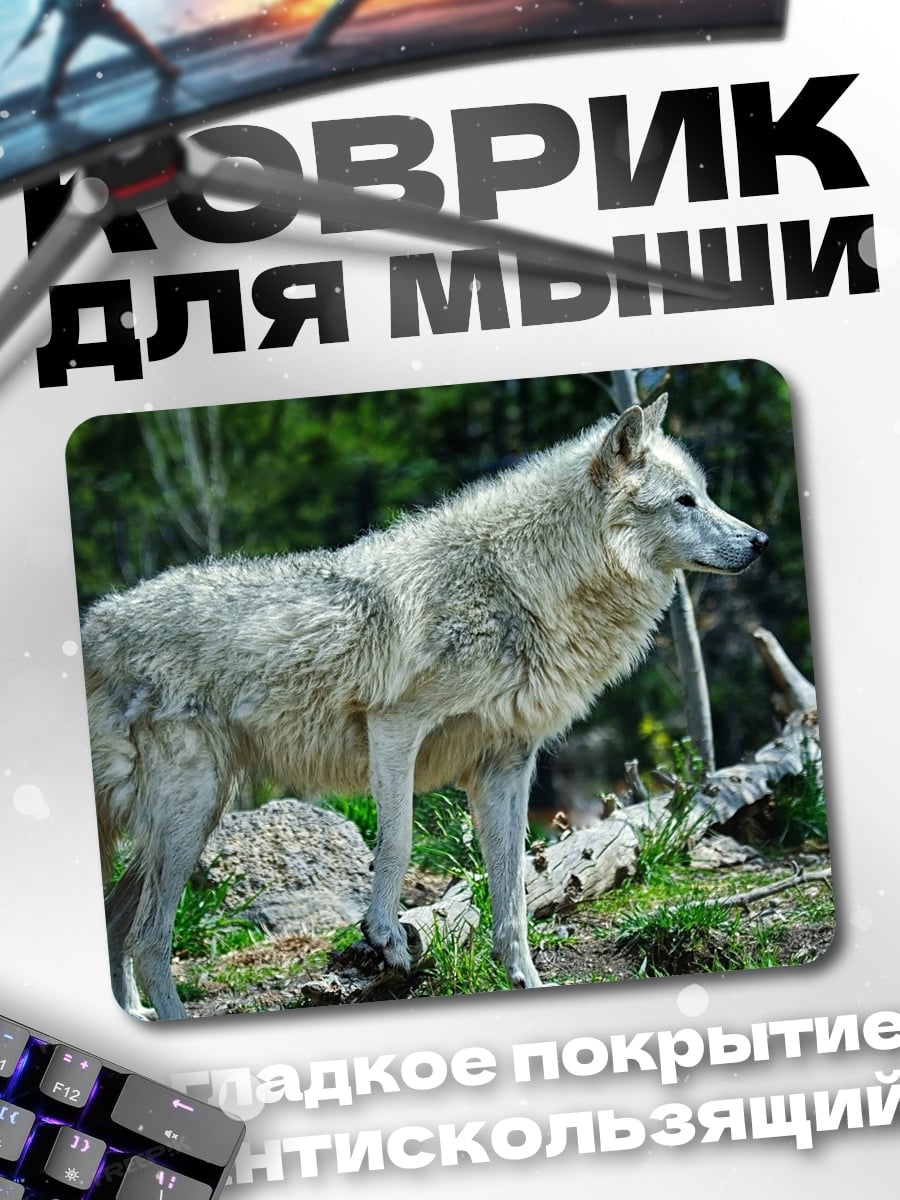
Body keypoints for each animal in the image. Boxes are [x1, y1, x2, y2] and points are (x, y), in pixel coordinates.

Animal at [83, 395, 768, 1019]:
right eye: (685, 501)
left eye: (706, 495)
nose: (761, 540)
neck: (521, 585)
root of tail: (94, 627)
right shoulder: (394, 726)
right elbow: (399, 841)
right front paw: (384, 935)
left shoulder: (507, 765)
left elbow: (514, 888)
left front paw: (525, 979)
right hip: (190, 811)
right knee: (148, 939)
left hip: (193, 815)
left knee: (117, 922)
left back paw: (132, 1013)